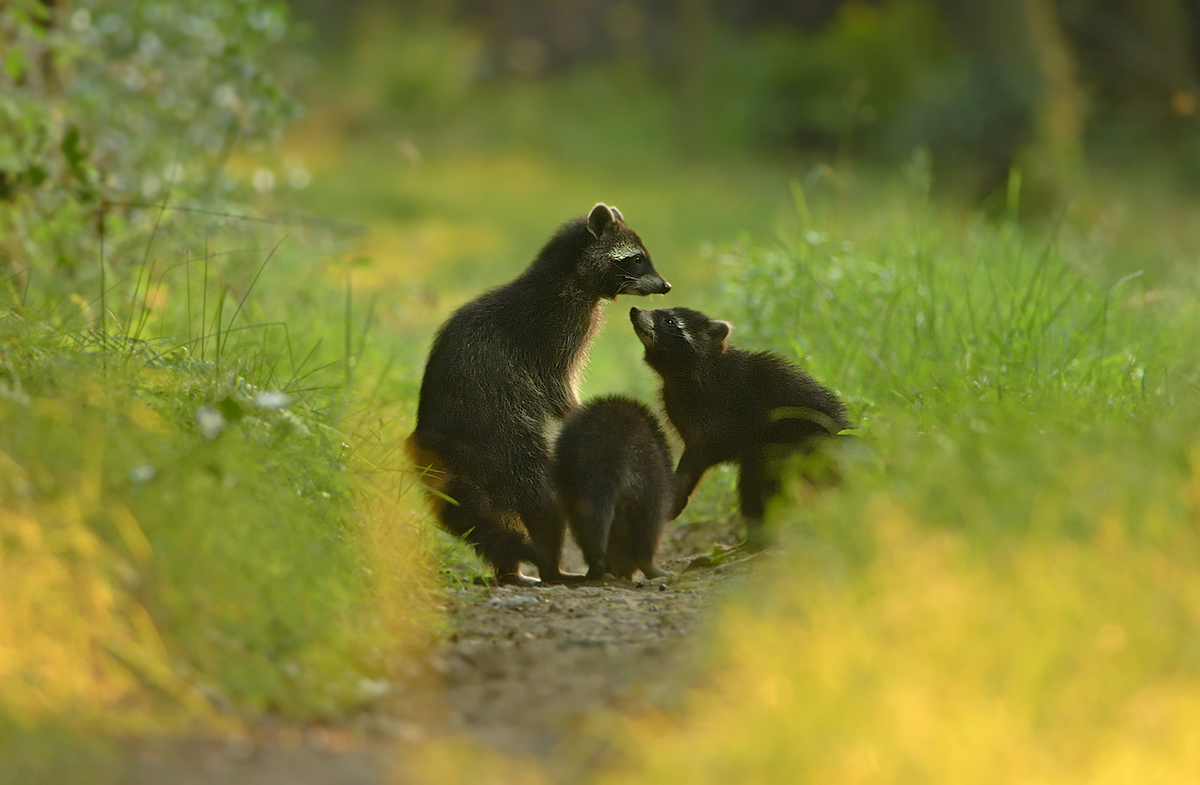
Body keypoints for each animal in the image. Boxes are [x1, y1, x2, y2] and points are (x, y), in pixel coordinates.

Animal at [552, 396, 676, 580]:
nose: (623, 572)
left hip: (572, 477)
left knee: (583, 517)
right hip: (648, 475)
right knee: (649, 521)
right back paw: (645, 562)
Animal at [633, 307, 849, 547]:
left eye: (669, 321)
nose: (635, 310)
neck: (678, 374)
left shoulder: (723, 407)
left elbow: (706, 450)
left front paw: (679, 482)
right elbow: (697, 454)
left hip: (796, 446)